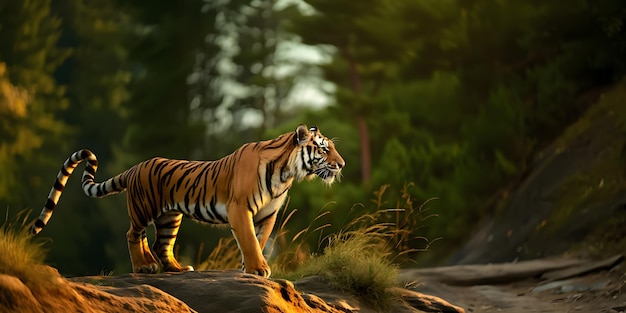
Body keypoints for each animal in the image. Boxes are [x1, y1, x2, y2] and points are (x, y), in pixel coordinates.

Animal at [30, 123, 342, 276]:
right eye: (324, 149)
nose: (342, 165)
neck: (286, 173)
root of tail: (134, 167)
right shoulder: (240, 209)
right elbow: (250, 240)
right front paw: (257, 269)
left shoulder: (268, 214)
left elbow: (259, 240)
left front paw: (250, 267)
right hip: (143, 208)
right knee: (133, 234)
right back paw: (143, 267)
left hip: (170, 217)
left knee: (158, 243)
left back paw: (174, 268)